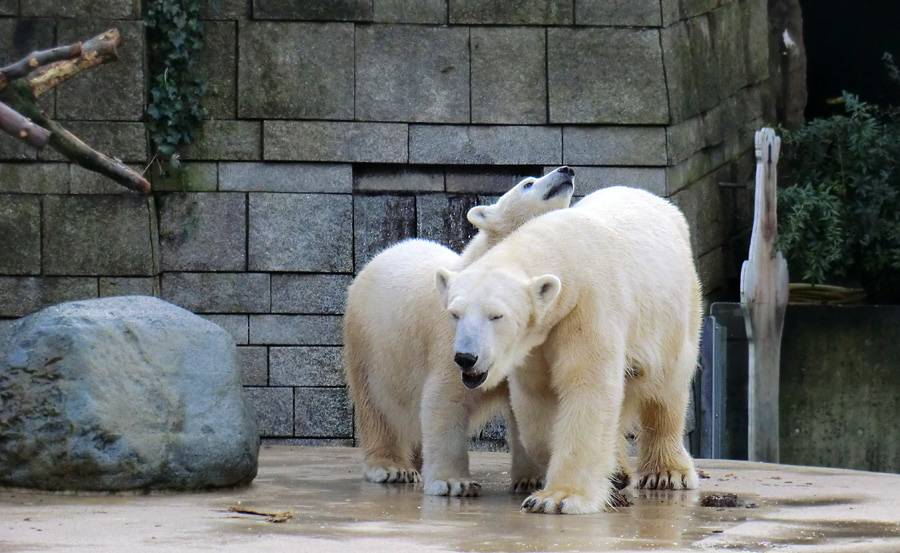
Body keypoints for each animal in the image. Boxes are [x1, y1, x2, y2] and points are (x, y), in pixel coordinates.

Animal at [344, 165, 576, 492]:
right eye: (528, 183)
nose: (566, 170)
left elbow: (524, 405)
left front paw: (530, 479)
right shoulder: (455, 338)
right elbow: (445, 398)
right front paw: (454, 481)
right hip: (371, 344)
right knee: (377, 404)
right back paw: (391, 467)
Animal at [434, 185, 704, 512]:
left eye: (497, 316)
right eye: (454, 313)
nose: (466, 358)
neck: (565, 250)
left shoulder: (588, 305)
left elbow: (587, 386)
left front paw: (557, 497)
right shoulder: (536, 340)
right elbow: (536, 398)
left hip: (674, 311)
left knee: (666, 385)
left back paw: (667, 472)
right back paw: (620, 468)